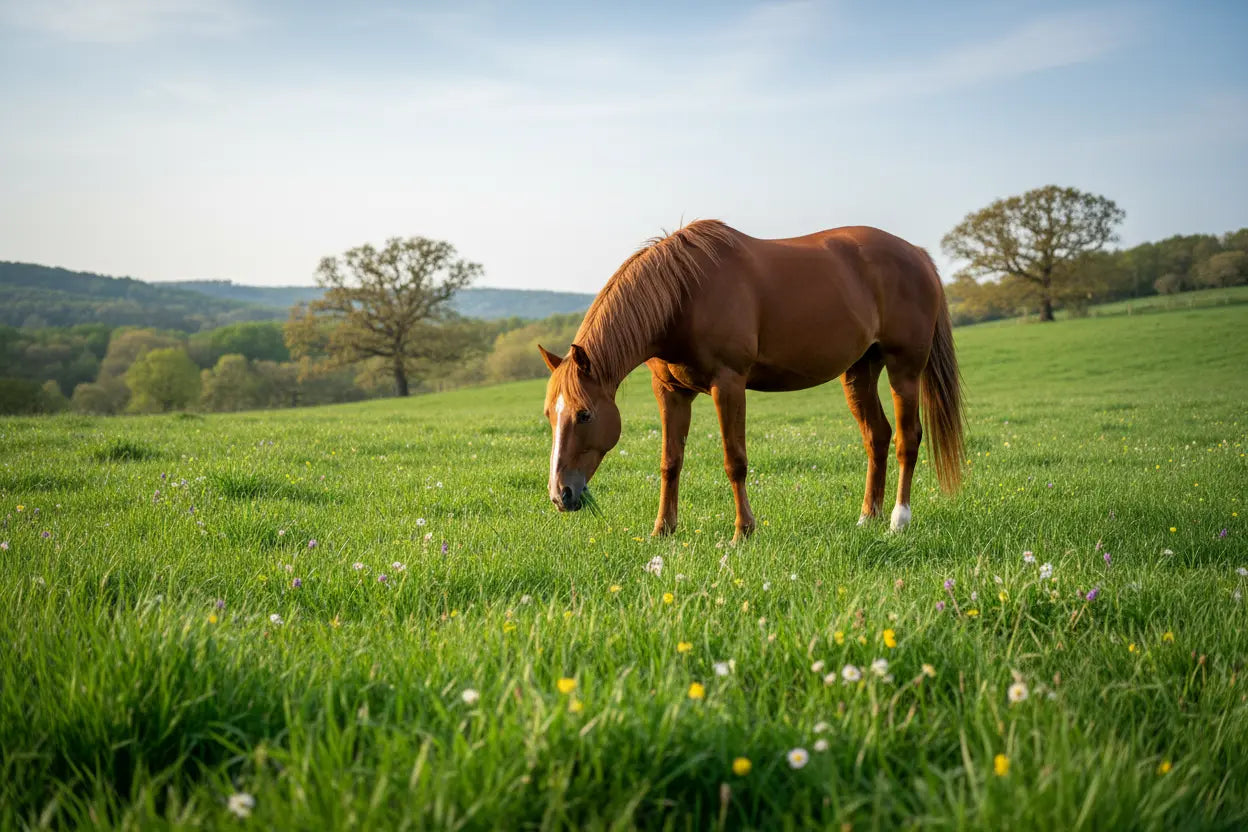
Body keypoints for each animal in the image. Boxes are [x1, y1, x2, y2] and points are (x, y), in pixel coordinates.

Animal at [539, 219, 965, 541]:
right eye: (549, 415)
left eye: (585, 415)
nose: (561, 495)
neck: (684, 295)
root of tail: (917, 254)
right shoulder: (671, 393)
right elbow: (670, 462)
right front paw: (663, 530)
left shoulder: (728, 384)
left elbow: (735, 460)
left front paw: (743, 531)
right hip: (860, 371)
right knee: (877, 436)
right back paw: (866, 518)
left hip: (904, 369)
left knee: (907, 440)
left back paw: (898, 520)